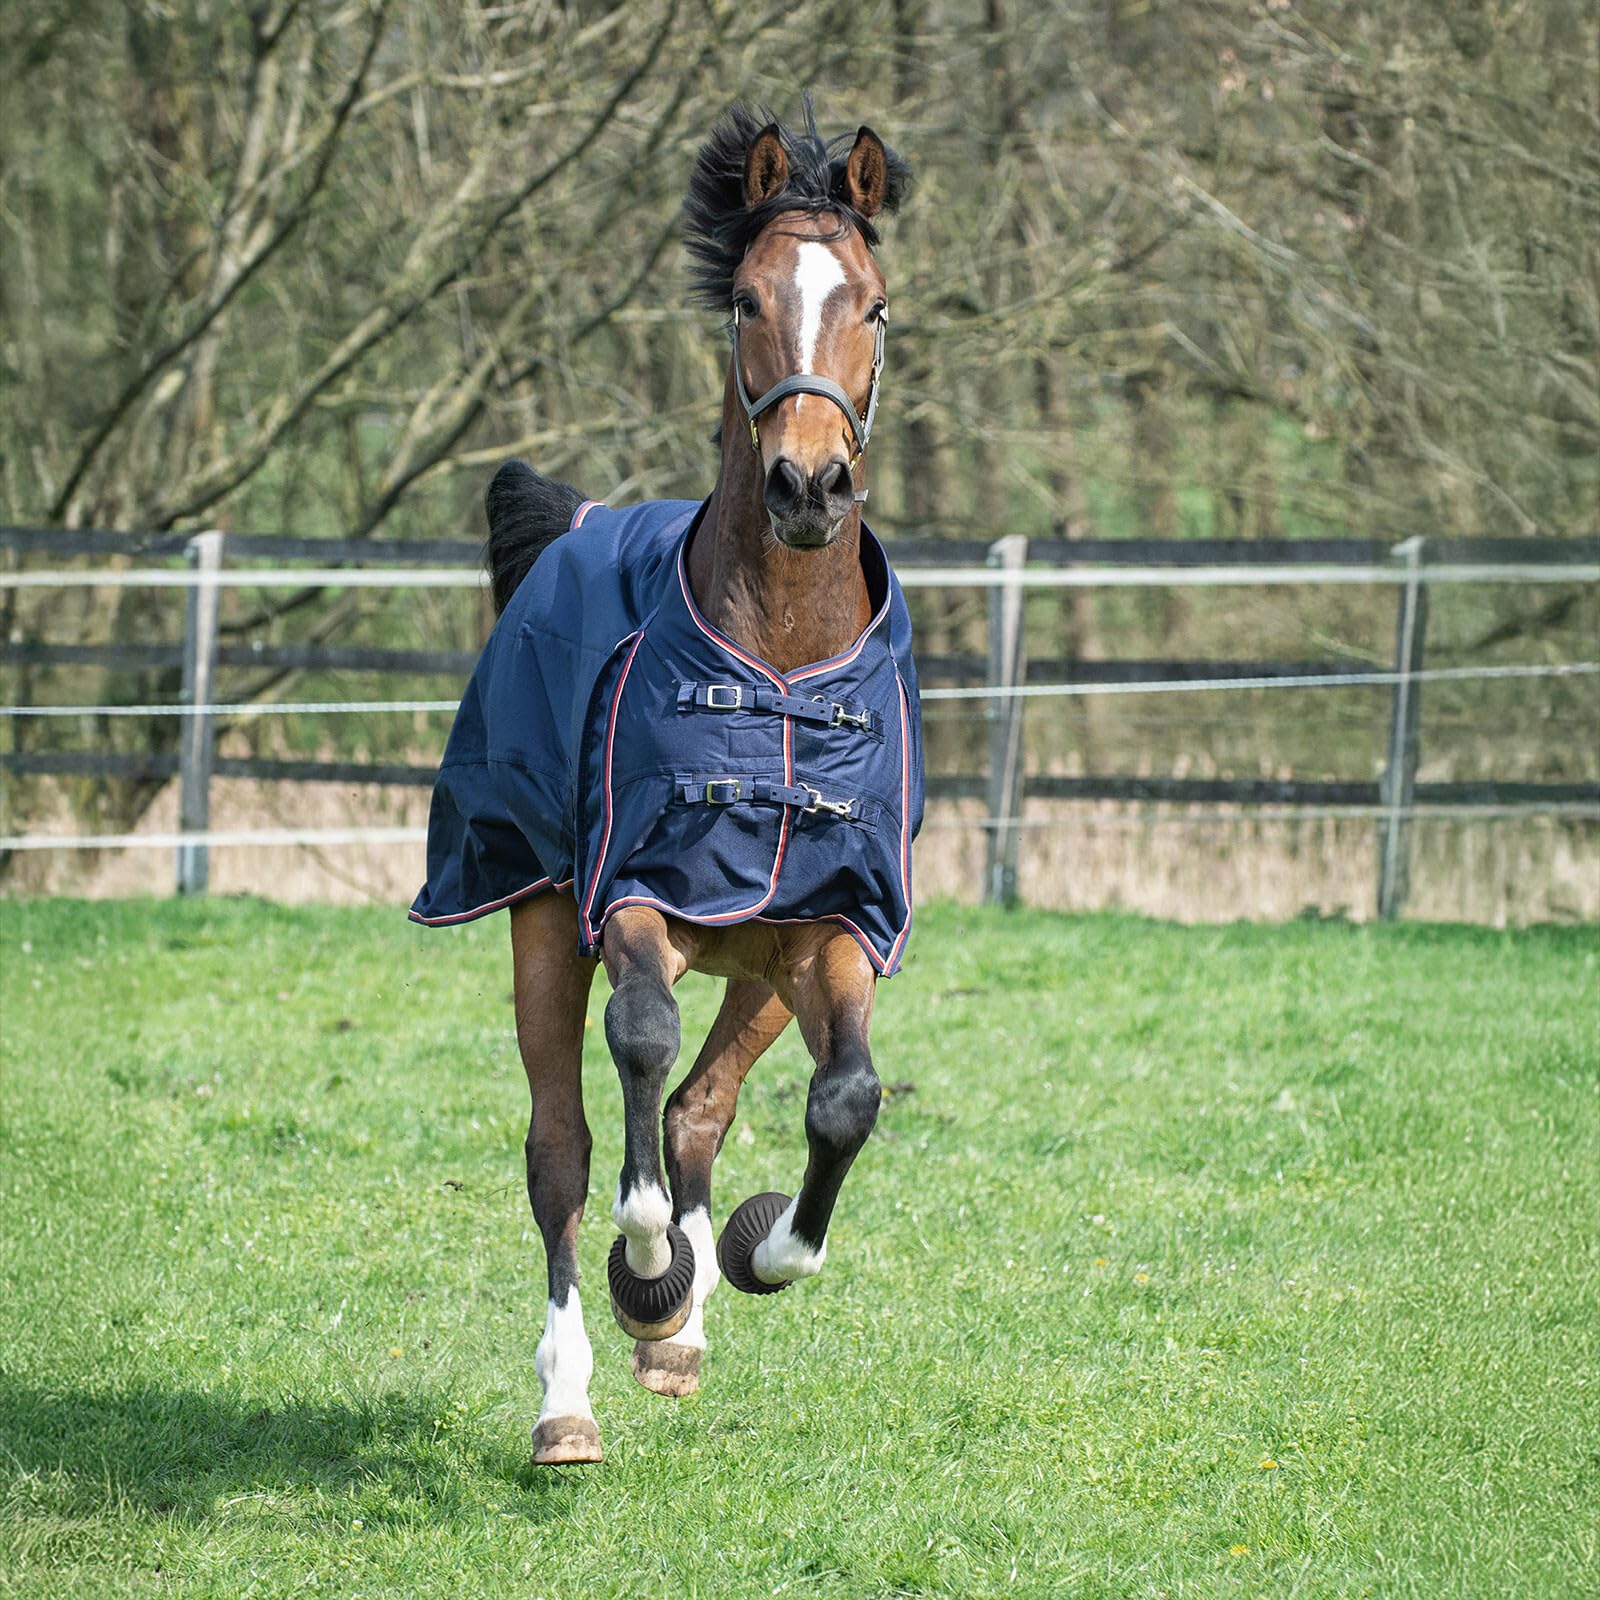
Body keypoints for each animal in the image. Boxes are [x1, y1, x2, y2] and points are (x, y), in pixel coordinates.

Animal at [411, 104, 920, 1465]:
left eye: (874, 304)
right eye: (746, 299)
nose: (809, 485)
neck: (780, 667)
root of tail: (582, 521)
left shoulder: (833, 925)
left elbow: (843, 1099)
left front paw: (746, 1257)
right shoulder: (630, 896)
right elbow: (634, 1050)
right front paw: (648, 1269)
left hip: (756, 966)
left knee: (697, 1107)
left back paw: (679, 1329)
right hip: (542, 920)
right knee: (565, 1148)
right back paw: (572, 1398)